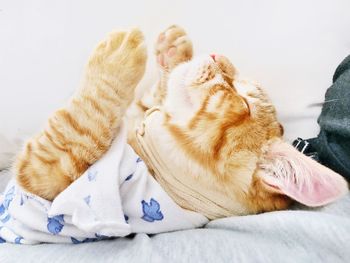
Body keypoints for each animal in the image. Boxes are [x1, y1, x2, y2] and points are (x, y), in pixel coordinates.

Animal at [13, 25, 348, 219]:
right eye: (238, 81)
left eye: (242, 100)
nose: (216, 55)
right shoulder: (139, 112)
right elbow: (152, 98)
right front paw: (174, 49)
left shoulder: (47, 179)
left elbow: (87, 120)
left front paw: (118, 56)